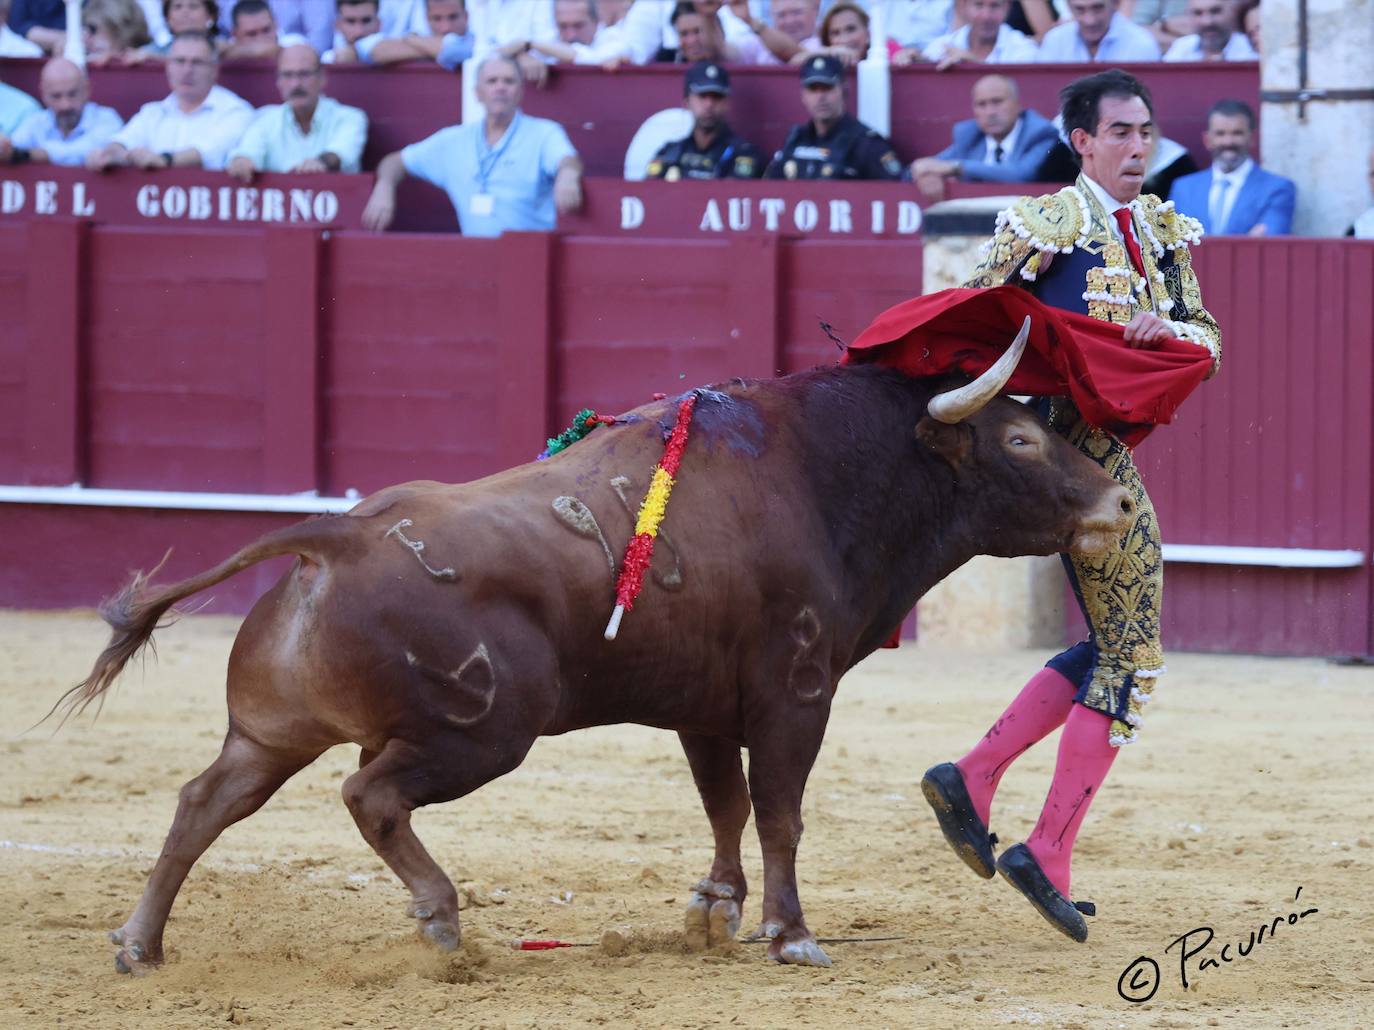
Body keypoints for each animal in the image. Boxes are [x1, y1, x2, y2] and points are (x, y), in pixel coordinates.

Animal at [53, 324, 1132, 977]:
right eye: (1020, 441)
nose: (1120, 504)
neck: (822, 474)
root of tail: (338, 539)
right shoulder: (794, 692)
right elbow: (779, 811)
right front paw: (790, 935)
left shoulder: (708, 707)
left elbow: (725, 804)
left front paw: (713, 910)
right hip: (484, 733)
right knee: (370, 795)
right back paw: (442, 920)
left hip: (271, 734)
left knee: (203, 803)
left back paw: (139, 944)